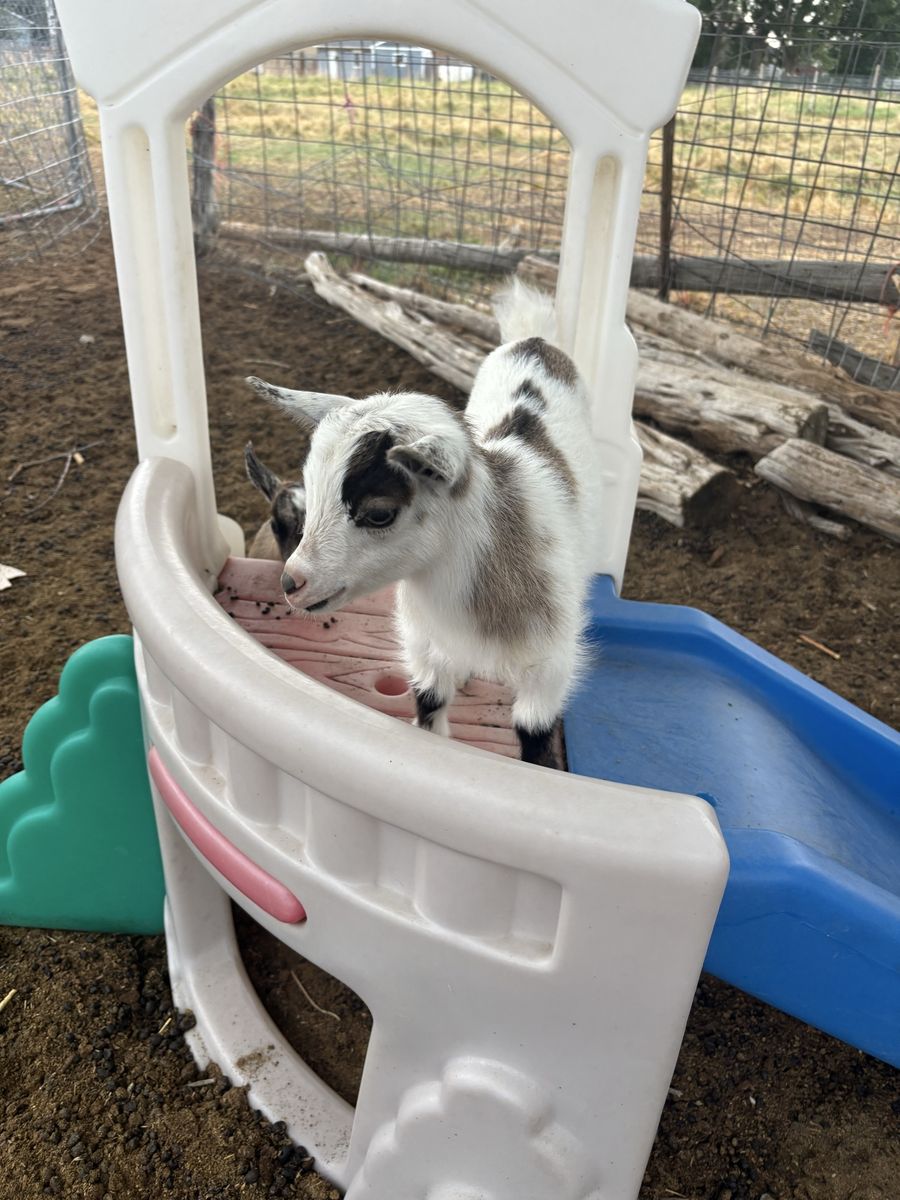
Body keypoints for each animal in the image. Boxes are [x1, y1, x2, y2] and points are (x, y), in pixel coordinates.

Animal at [245, 281, 596, 768]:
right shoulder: (425, 652)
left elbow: (535, 740)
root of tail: (535, 340)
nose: (292, 582)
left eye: (379, 512)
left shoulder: (548, 673)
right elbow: (429, 713)